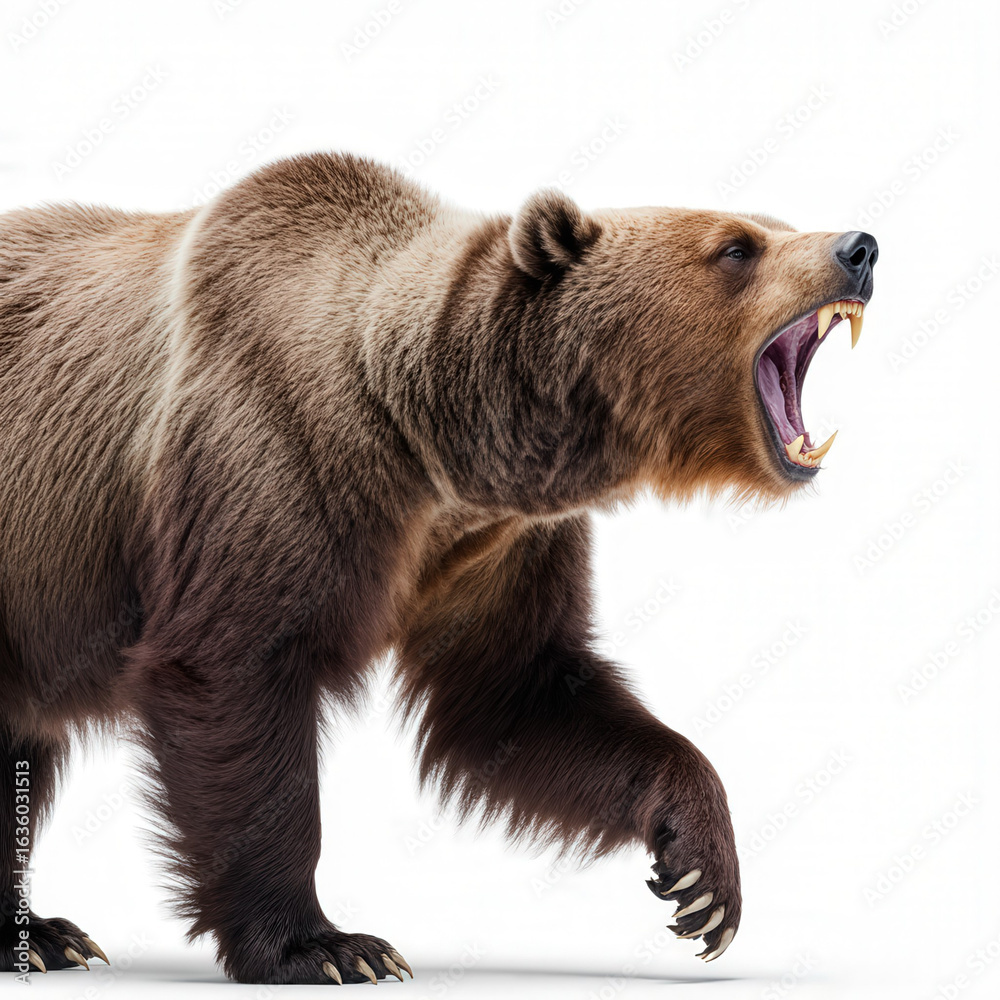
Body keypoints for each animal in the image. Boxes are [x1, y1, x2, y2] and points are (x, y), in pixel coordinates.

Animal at [0, 152, 877, 984]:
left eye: (774, 220)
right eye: (737, 247)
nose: (859, 248)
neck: (432, 440)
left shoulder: (492, 548)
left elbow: (519, 695)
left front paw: (703, 879)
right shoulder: (265, 455)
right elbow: (236, 672)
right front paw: (325, 945)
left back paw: (42, 935)